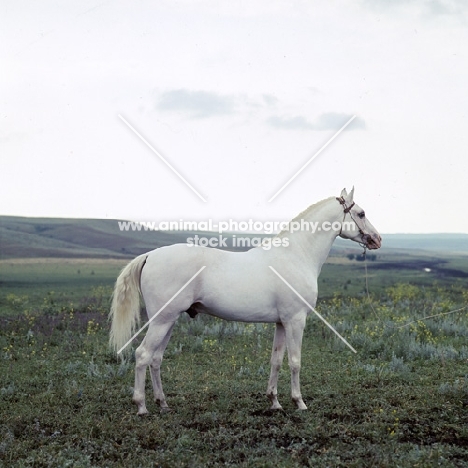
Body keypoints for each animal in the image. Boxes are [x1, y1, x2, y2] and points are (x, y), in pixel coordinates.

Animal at [109, 186, 380, 414]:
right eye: (361, 213)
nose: (377, 239)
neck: (296, 255)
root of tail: (149, 256)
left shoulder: (281, 323)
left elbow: (276, 361)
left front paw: (274, 401)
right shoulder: (296, 320)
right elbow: (295, 362)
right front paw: (299, 402)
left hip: (168, 321)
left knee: (155, 359)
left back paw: (163, 403)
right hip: (161, 320)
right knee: (143, 355)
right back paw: (141, 406)